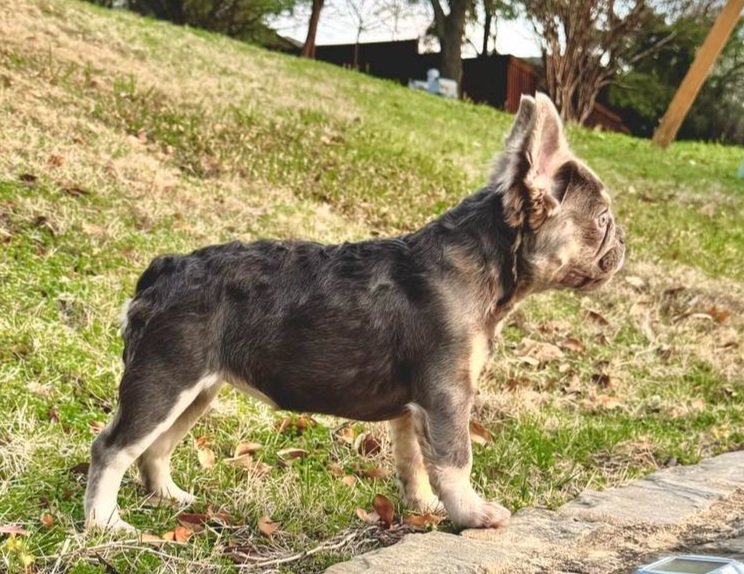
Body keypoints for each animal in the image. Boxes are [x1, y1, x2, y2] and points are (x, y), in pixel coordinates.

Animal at [84, 94, 624, 532]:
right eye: (602, 220)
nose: (623, 243)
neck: (484, 262)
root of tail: (163, 268)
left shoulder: (414, 409)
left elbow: (415, 462)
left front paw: (425, 507)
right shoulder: (447, 395)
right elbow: (455, 459)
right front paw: (472, 514)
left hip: (196, 390)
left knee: (155, 448)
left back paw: (169, 496)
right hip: (164, 381)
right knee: (112, 447)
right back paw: (105, 523)